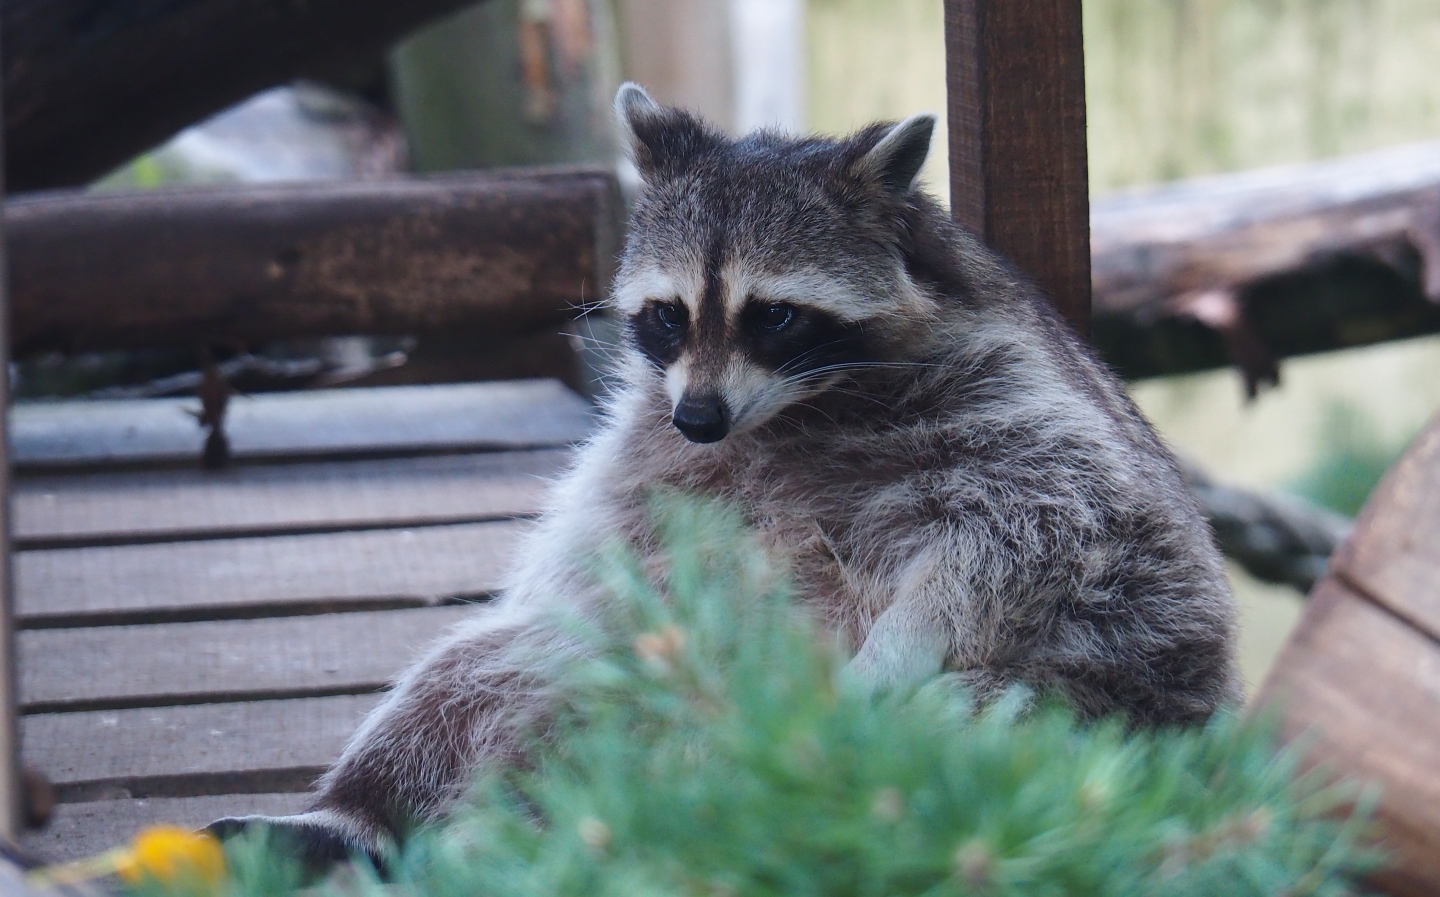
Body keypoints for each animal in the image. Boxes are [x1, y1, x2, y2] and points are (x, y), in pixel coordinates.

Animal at [211, 84, 1239, 862]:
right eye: (668, 314)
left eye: (773, 315)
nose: (700, 417)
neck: (788, 410)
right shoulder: (649, 439)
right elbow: (590, 550)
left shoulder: (1013, 397)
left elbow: (1049, 523)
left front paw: (901, 641)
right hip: (597, 689)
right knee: (491, 665)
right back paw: (356, 812)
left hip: (1088, 711)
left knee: (966, 718)